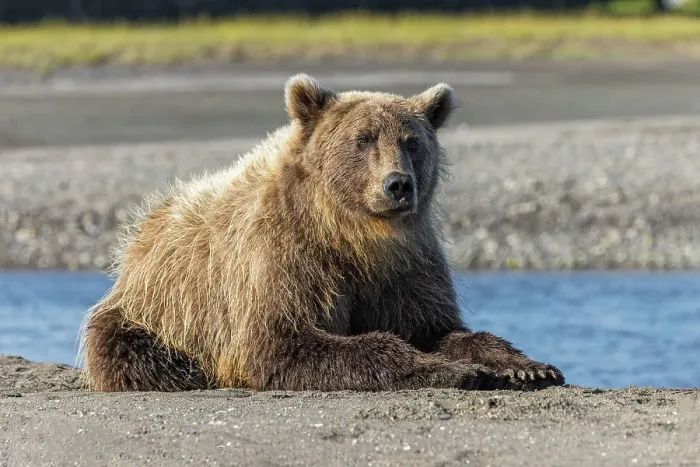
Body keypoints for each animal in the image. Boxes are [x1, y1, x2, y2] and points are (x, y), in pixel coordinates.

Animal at [79, 73, 565, 393]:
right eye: (363, 138)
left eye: (412, 142)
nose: (398, 184)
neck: (355, 234)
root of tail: (147, 226)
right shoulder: (285, 258)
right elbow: (283, 344)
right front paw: (454, 371)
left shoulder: (406, 267)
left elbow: (437, 327)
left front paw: (525, 366)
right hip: (156, 311)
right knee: (132, 352)